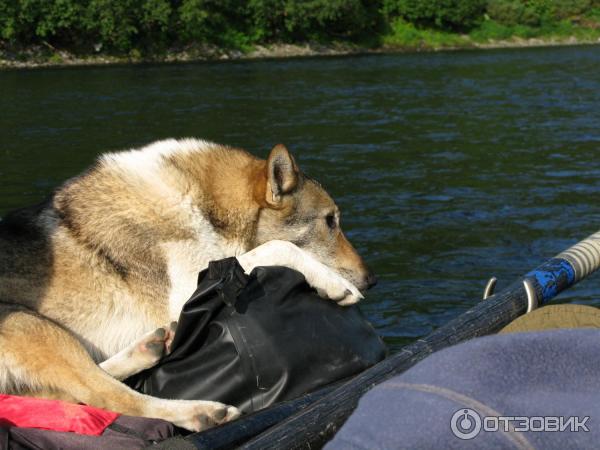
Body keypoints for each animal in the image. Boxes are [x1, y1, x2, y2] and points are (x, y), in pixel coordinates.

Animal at [0, 138, 376, 432]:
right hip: (23, 322)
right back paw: (201, 412)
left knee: (71, 391)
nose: (373, 280)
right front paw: (334, 284)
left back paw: (147, 349)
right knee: (106, 396)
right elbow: (277, 247)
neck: (204, 209)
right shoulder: (186, 293)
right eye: (330, 221)